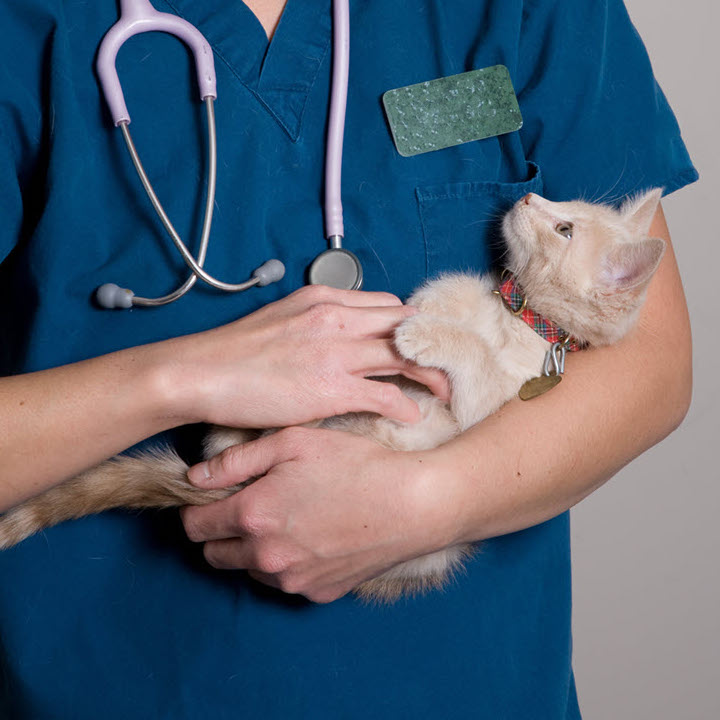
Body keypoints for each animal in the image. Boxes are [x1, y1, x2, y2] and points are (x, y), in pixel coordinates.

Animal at [0, 190, 664, 600]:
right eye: (559, 207)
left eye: (564, 228)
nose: (527, 197)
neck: (520, 317)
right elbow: (449, 293)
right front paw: (419, 308)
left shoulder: (489, 403)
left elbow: (471, 366)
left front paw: (422, 334)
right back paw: (230, 431)